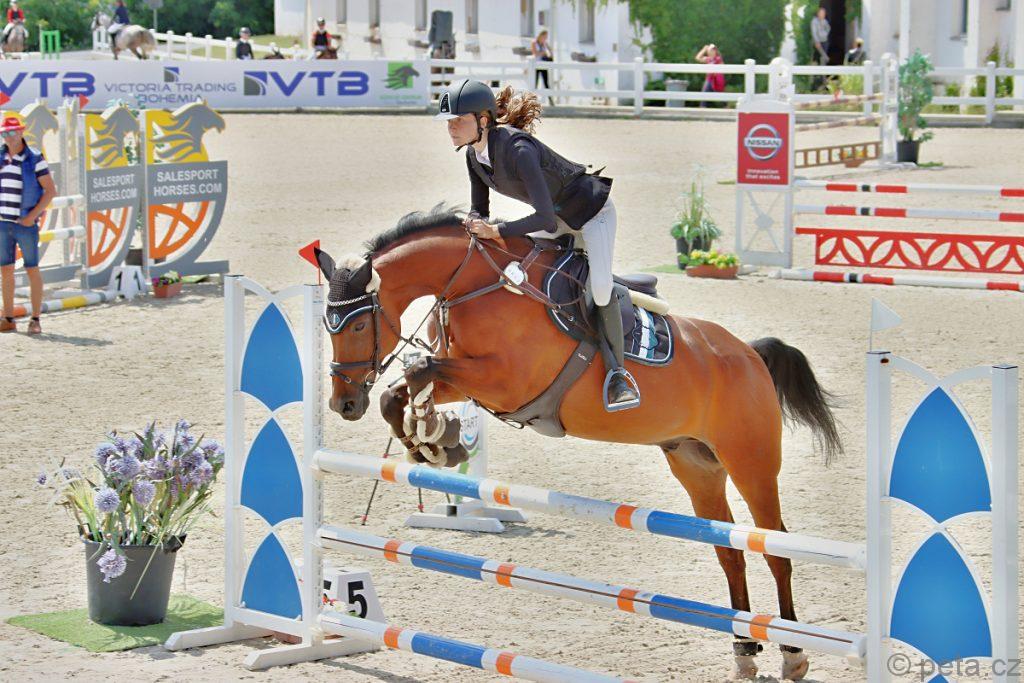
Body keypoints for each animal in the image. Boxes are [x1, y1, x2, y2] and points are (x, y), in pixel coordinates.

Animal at [314, 207, 843, 681]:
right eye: (328, 327)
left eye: (358, 325)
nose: (343, 403)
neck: (474, 285)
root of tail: (749, 353)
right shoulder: (468, 379)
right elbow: (400, 389)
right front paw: (431, 443)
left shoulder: (505, 382)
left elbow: (421, 369)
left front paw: (433, 437)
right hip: (697, 467)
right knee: (730, 551)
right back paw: (745, 652)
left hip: (751, 463)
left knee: (774, 548)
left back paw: (793, 653)